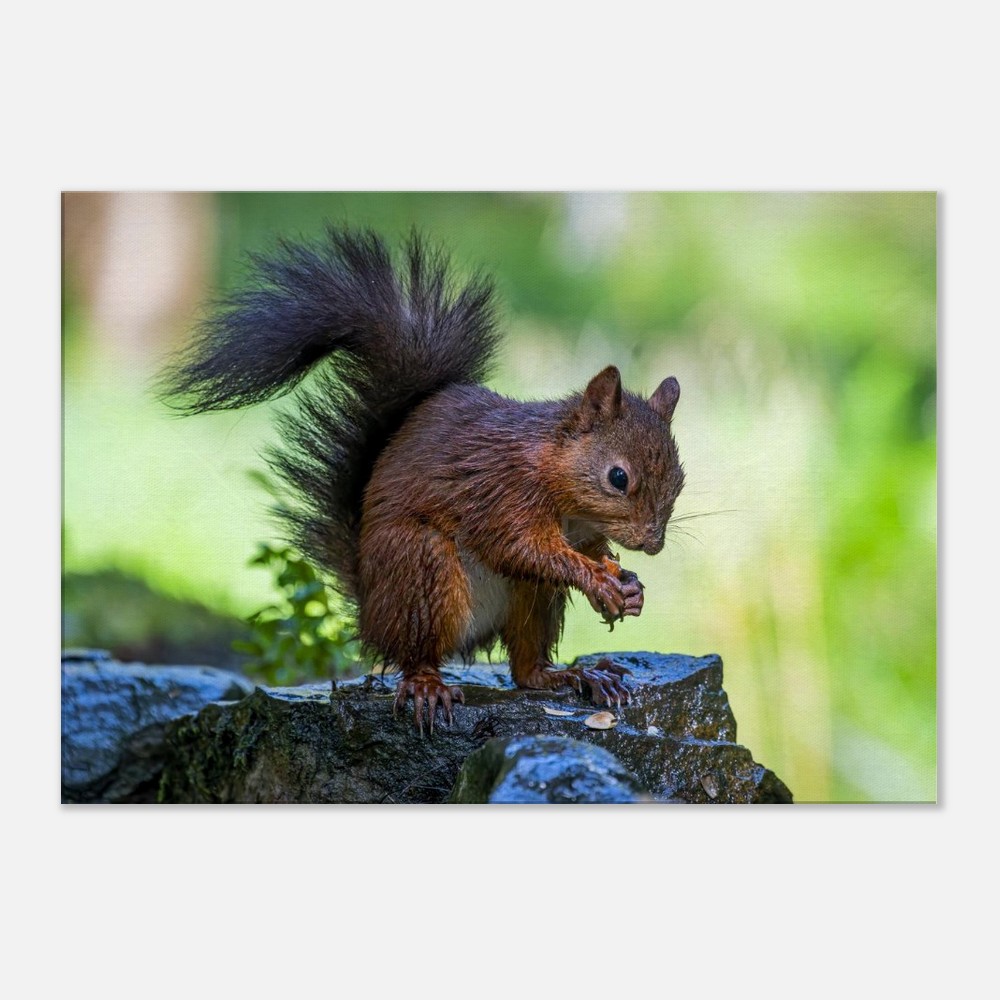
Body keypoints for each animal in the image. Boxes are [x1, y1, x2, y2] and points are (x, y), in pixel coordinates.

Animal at [161, 227, 685, 733]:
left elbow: (587, 551)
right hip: (420, 569)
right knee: (416, 653)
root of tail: (370, 610)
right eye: (618, 477)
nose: (654, 544)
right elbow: (522, 548)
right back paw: (428, 685)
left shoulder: (580, 529)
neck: (559, 482)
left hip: (531, 599)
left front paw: (628, 585)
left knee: (525, 669)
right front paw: (597, 579)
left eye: (679, 480)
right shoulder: (501, 492)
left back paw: (574, 675)